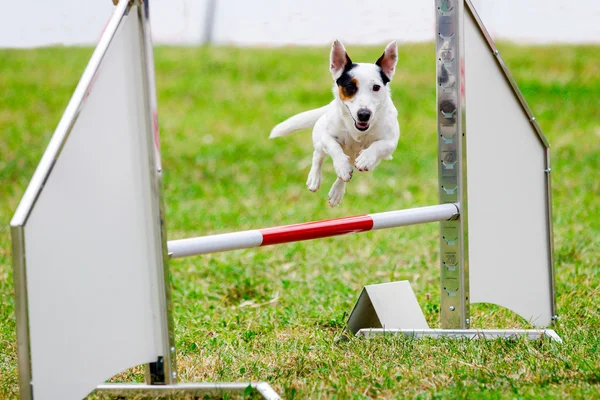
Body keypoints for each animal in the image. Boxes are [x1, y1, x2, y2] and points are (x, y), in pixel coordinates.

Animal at [270, 40, 400, 208]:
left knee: (348, 170)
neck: (358, 131)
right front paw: (341, 166)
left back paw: (337, 191)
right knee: (318, 155)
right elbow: (334, 148)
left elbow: (379, 145)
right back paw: (316, 178)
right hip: (319, 140)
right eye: (350, 87)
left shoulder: (391, 141)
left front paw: (366, 158)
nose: (364, 114)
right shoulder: (327, 136)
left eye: (376, 87)